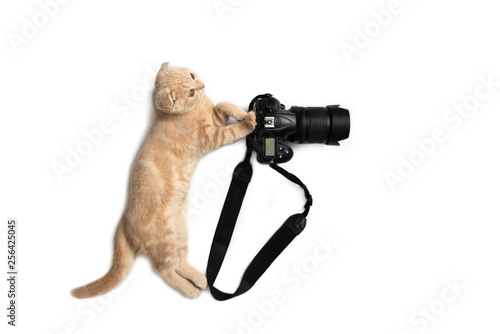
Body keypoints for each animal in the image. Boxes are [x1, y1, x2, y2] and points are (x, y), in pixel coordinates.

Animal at [72, 62, 256, 298]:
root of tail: (124, 222)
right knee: (164, 269)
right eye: (190, 92)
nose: (202, 85)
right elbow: (230, 130)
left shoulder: (216, 117)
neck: (196, 108)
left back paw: (199, 278)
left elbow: (224, 104)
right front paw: (249, 122)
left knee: (177, 262)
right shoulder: (210, 137)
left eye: (192, 76)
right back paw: (191, 288)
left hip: (180, 235)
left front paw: (243, 113)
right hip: (166, 241)